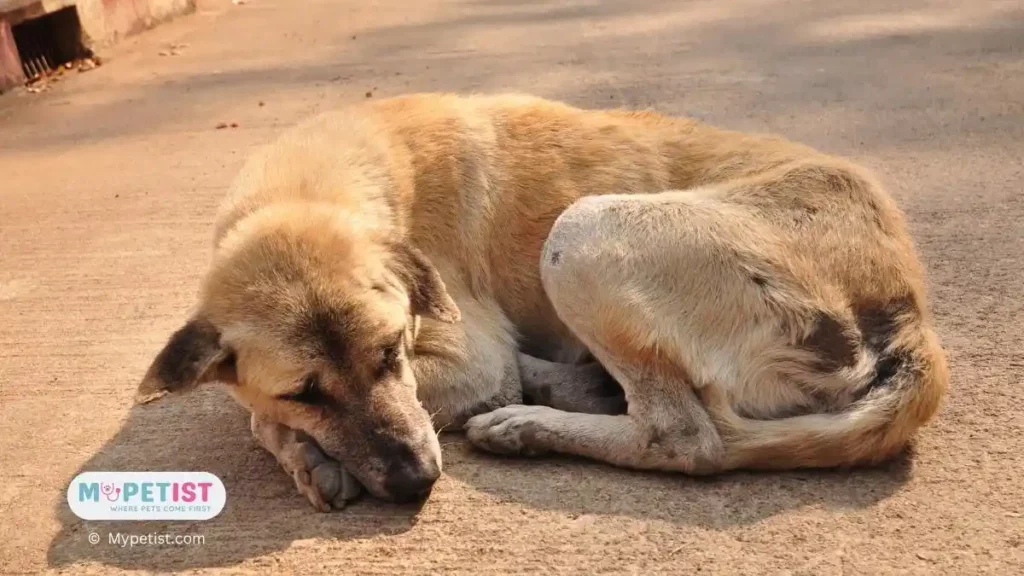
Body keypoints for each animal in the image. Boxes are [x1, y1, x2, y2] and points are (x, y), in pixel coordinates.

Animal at [136, 91, 950, 508]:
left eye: (391, 352)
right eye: (305, 390)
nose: (416, 484)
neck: (316, 183)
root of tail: (912, 310)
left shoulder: (467, 358)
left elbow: (249, 415)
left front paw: (304, 454)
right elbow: (258, 409)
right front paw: (309, 455)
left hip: (584, 228)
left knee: (684, 437)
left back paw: (528, 423)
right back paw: (568, 389)